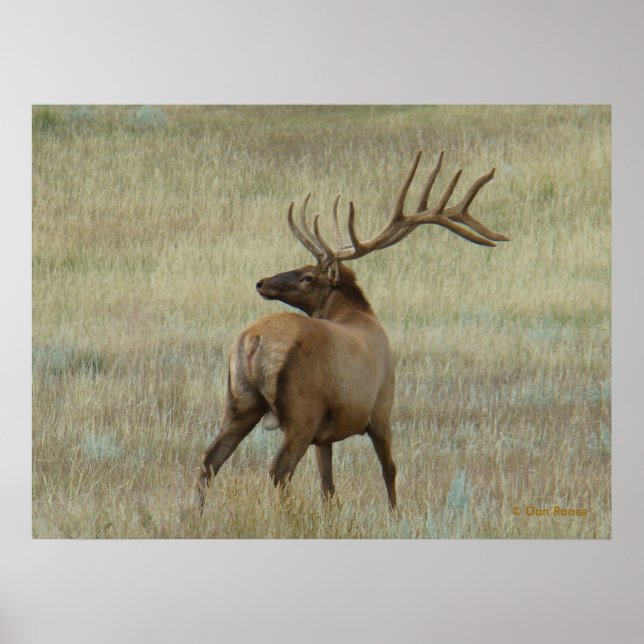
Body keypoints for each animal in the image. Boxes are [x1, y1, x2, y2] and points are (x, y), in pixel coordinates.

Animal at [195, 150, 508, 513]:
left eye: (307, 275)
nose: (261, 282)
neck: (359, 313)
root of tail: (252, 341)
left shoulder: (325, 434)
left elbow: (328, 486)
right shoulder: (382, 406)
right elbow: (389, 469)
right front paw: (394, 513)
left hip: (240, 401)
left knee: (210, 460)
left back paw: (197, 513)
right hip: (302, 410)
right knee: (278, 470)